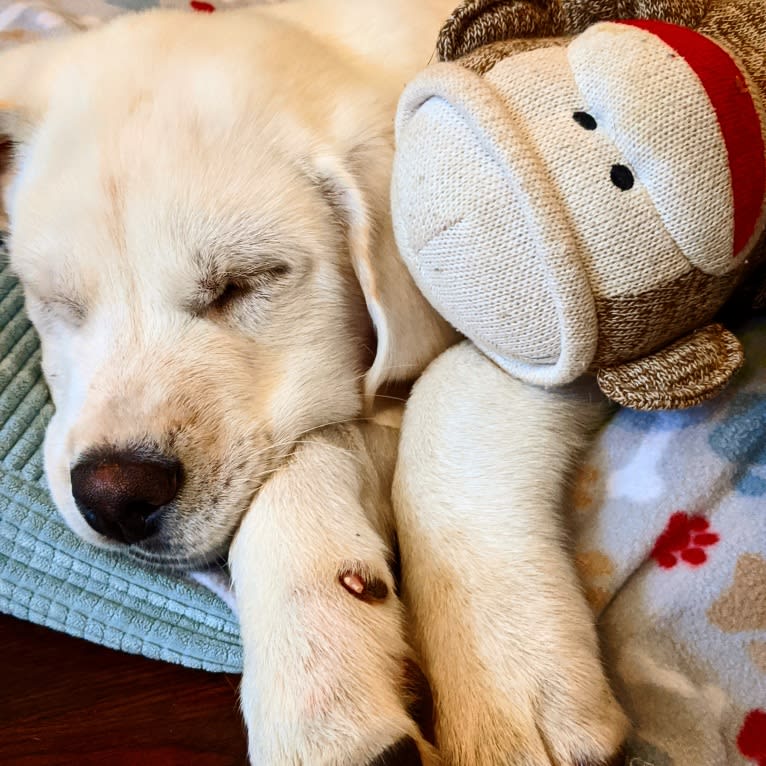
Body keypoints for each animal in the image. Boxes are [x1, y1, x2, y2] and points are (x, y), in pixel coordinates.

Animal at [1, 1, 632, 766]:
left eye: (245, 283)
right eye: (57, 303)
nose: (114, 497)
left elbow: (447, 399)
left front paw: (500, 672)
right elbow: (312, 450)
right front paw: (321, 667)